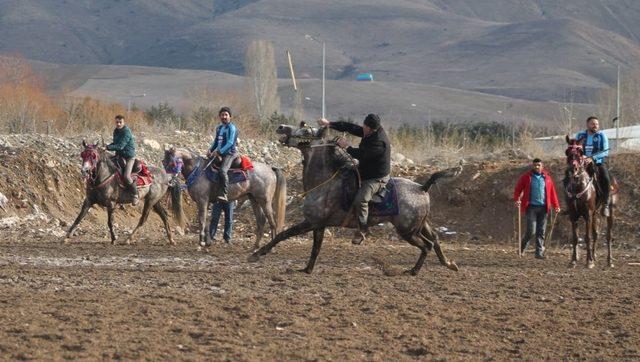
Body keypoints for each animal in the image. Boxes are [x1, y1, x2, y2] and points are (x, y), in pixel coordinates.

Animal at [248, 124, 462, 274]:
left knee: (426, 245)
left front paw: (257, 254)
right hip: (420, 225)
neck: (325, 181)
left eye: (306, 129)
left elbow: (284, 235)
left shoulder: (312, 222)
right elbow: (315, 248)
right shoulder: (319, 225)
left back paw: (413, 271)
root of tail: (422, 187)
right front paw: (307, 269)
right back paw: (449, 264)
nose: (282, 127)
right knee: (434, 240)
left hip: (407, 231)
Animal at [564, 136, 616, 268]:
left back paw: (609, 260)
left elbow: (587, 237)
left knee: (608, 235)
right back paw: (595, 255)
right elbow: (575, 238)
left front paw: (589, 261)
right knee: (596, 233)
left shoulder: (587, 214)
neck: (578, 186)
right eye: (568, 152)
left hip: (609, 212)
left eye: (580, 152)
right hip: (595, 213)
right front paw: (573, 260)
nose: (573, 169)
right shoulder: (573, 215)